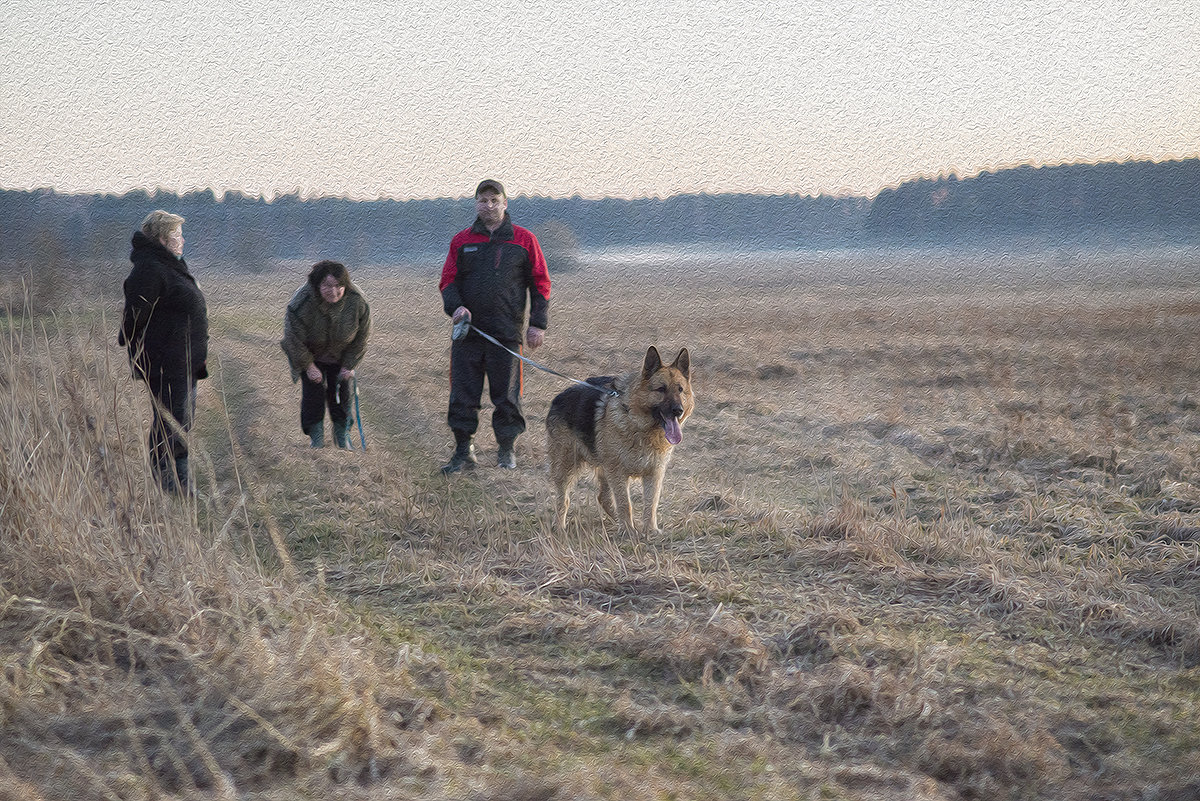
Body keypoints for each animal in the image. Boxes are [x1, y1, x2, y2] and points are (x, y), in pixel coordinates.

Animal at [547, 347, 696, 534]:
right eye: (661, 389)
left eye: (680, 389)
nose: (678, 410)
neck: (638, 425)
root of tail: (558, 397)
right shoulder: (618, 472)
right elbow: (625, 503)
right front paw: (628, 530)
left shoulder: (654, 473)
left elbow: (651, 504)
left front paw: (650, 530)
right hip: (566, 467)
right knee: (563, 500)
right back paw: (559, 526)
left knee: (603, 497)